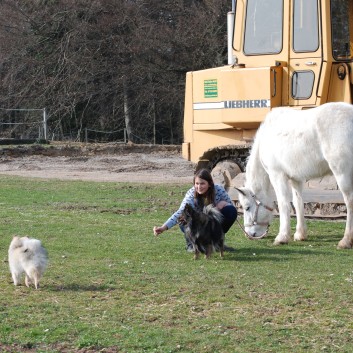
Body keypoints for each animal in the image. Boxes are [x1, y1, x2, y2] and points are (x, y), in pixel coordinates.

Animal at [235, 102, 352, 248]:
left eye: (247, 207)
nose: (249, 234)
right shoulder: (296, 179)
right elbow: (298, 203)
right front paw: (300, 234)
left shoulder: (277, 175)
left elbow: (283, 203)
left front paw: (282, 236)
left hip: (342, 172)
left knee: (349, 201)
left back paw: (346, 240)